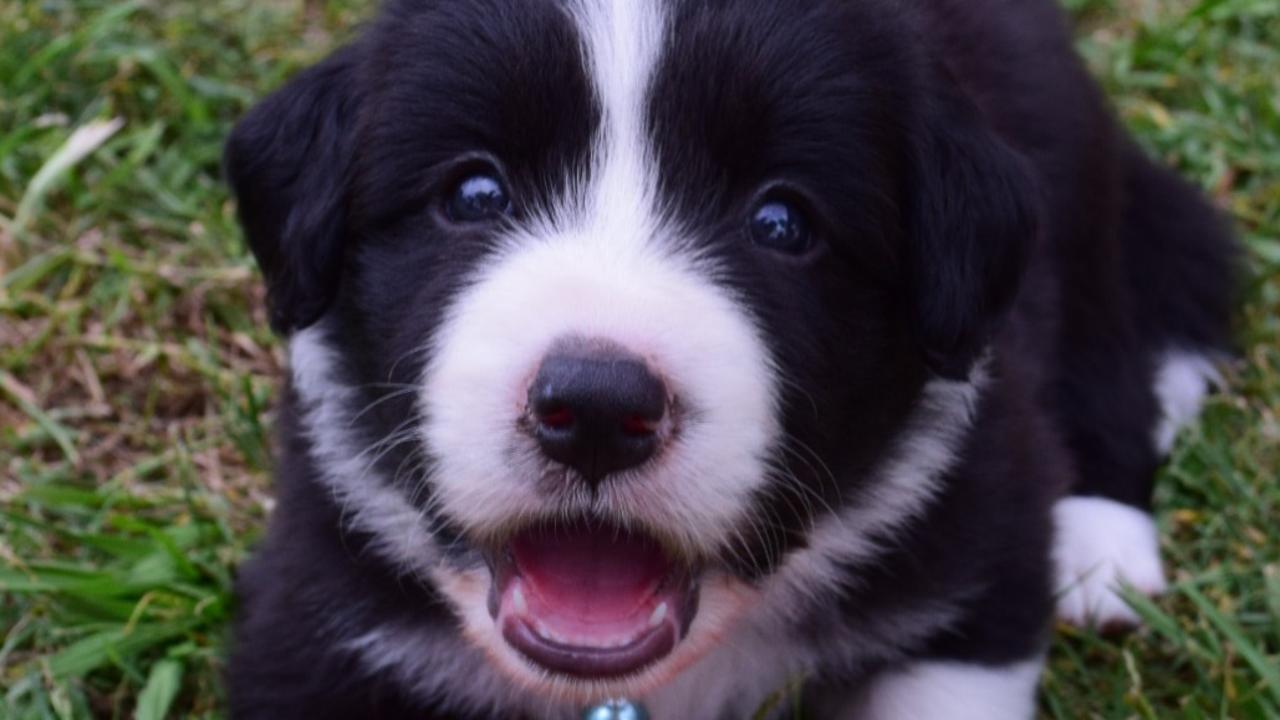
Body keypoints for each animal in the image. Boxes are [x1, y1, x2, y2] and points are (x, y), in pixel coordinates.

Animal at [225, 1, 1233, 712]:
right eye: (473, 193)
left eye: (782, 221)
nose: (598, 409)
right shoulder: (318, 617)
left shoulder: (980, 554)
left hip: (1076, 203)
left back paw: (1105, 548)